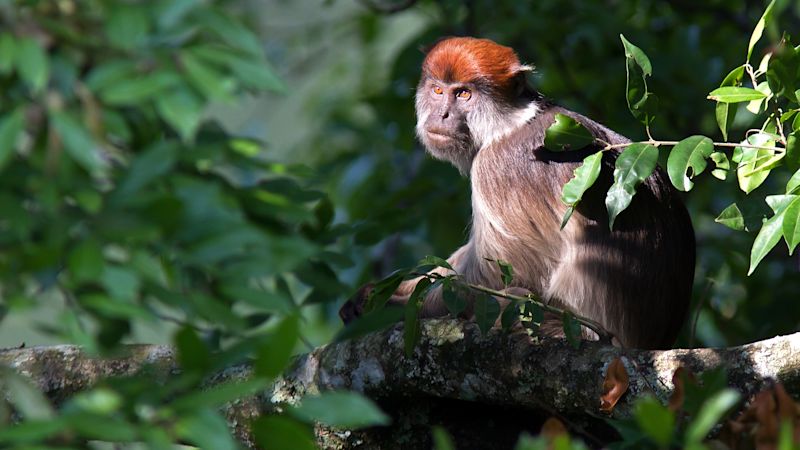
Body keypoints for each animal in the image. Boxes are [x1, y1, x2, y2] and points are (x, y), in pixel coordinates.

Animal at [338, 37, 692, 350]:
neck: (509, 124)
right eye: (438, 90)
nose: (442, 115)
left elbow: (505, 278)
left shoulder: (496, 168)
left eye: (464, 94)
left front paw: (387, 307)